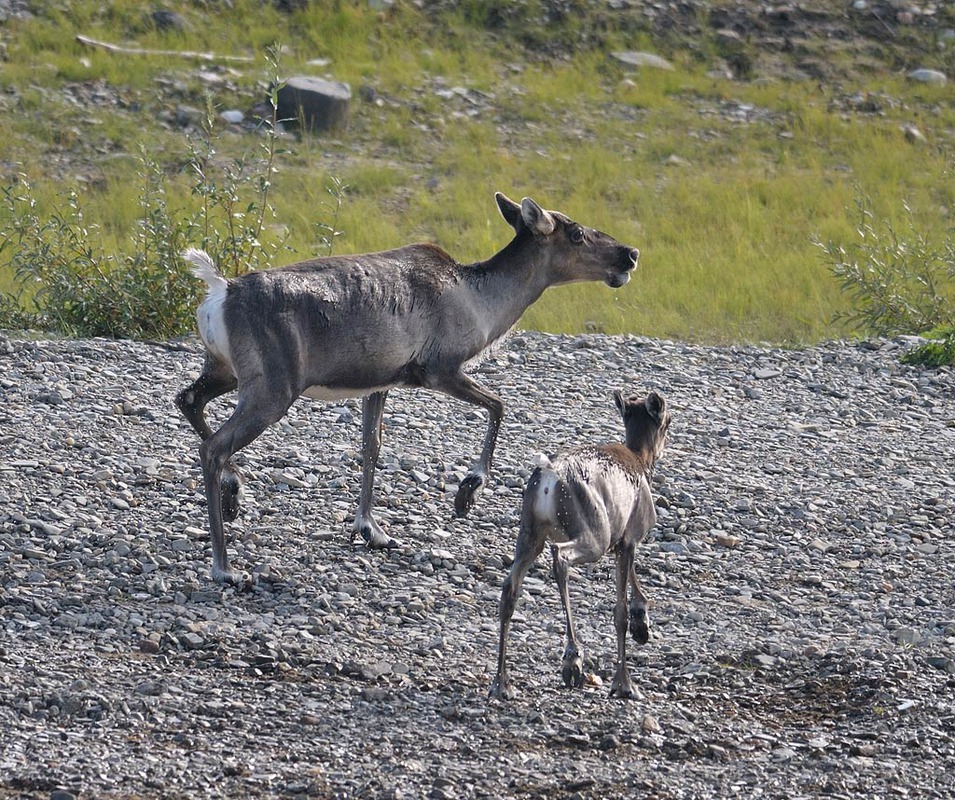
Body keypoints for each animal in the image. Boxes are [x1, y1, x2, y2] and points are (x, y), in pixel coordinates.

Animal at [177, 192, 644, 580]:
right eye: (577, 232)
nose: (631, 254)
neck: (482, 305)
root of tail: (219, 292)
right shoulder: (439, 368)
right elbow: (498, 405)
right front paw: (467, 490)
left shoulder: (380, 381)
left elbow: (372, 446)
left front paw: (372, 529)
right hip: (272, 386)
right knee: (213, 445)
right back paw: (223, 565)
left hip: (226, 369)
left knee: (187, 399)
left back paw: (234, 491)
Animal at [492, 390, 672, 696]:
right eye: (668, 422)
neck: (640, 460)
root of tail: (550, 476)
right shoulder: (629, 537)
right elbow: (620, 612)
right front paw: (624, 684)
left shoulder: (620, 539)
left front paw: (642, 623)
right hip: (593, 532)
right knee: (560, 557)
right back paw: (573, 658)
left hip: (530, 532)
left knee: (510, 587)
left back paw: (502, 684)